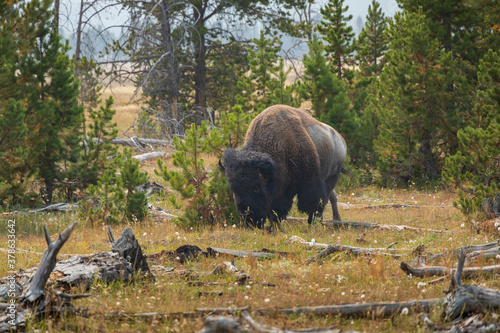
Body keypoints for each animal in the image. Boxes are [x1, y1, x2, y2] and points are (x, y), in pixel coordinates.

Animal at [219, 104, 348, 228]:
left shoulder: (309, 182)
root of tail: (341, 140)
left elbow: (313, 203)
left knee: (326, 199)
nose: (246, 214)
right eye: (234, 189)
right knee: (332, 196)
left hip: (332, 176)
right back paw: (334, 220)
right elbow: (275, 211)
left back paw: (326, 222)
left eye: (256, 187)